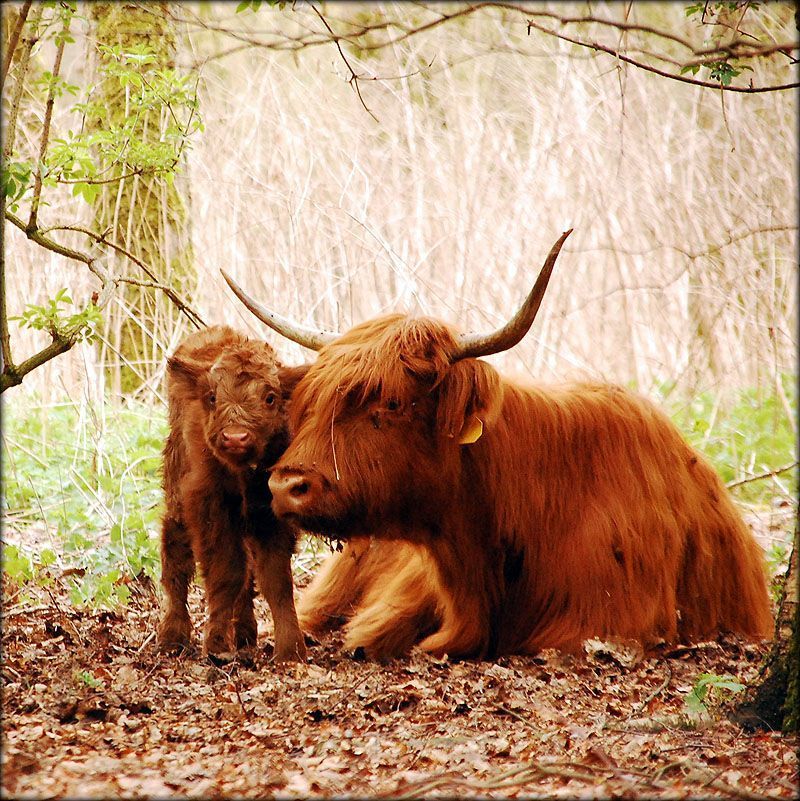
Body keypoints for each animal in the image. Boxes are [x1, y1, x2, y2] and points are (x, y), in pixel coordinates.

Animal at [159, 324, 306, 664]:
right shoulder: (209, 507)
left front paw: (290, 649)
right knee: (175, 557)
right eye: (213, 397)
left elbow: (275, 578)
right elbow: (226, 572)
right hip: (177, 497)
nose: (235, 437)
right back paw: (173, 635)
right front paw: (215, 645)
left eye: (270, 397)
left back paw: (246, 633)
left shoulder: (273, 515)